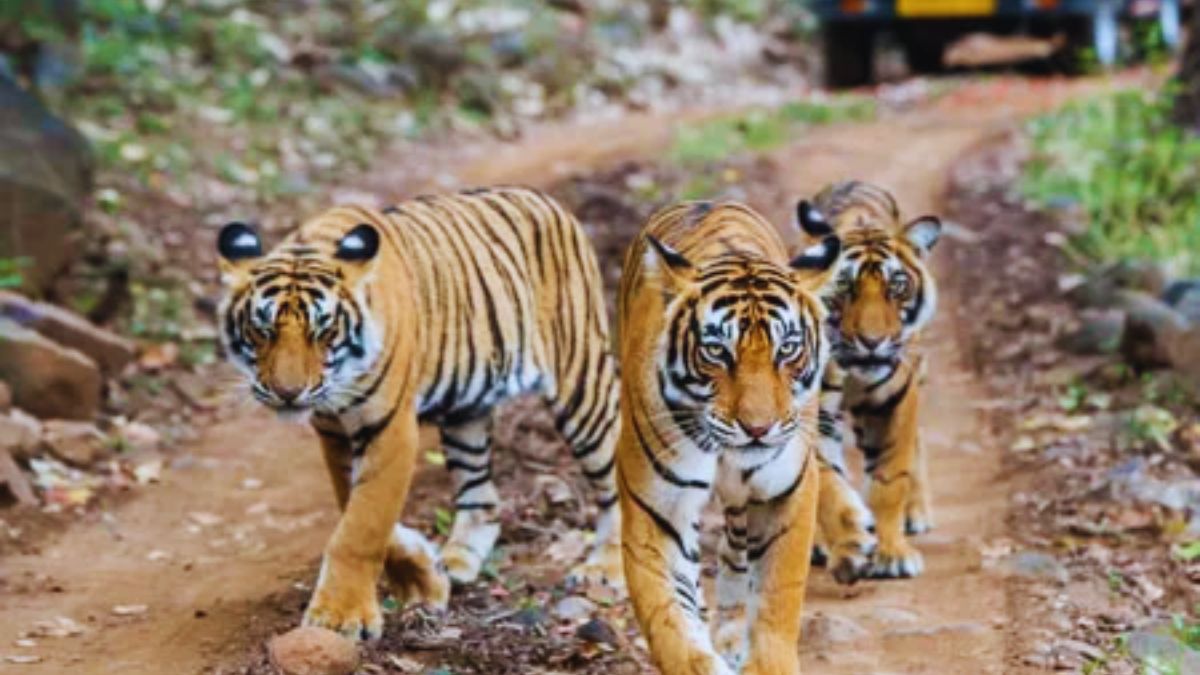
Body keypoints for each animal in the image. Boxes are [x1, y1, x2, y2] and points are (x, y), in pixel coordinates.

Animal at [215, 186, 623, 640]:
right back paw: (459, 562)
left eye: (324, 331)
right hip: (466, 411)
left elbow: (362, 525)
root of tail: (546, 200)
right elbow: (354, 508)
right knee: (482, 497)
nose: (288, 393)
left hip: (582, 382)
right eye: (262, 330)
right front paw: (424, 578)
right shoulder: (335, 433)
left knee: (616, 477)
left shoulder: (388, 427)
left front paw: (340, 617)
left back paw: (605, 569)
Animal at [616, 200, 841, 674]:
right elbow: (670, 623)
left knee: (737, 548)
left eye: (787, 349)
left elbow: (777, 597)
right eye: (717, 351)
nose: (757, 428)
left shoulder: (785, 492)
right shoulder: (657, 510)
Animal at [794, 180, 942, 580]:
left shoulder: (896, 399)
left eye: (897, 287)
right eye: (844, 289)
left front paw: (892, 553)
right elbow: (827, 481)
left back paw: (915, 513)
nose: (873, 342)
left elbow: (889, 479)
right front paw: (850, 543)